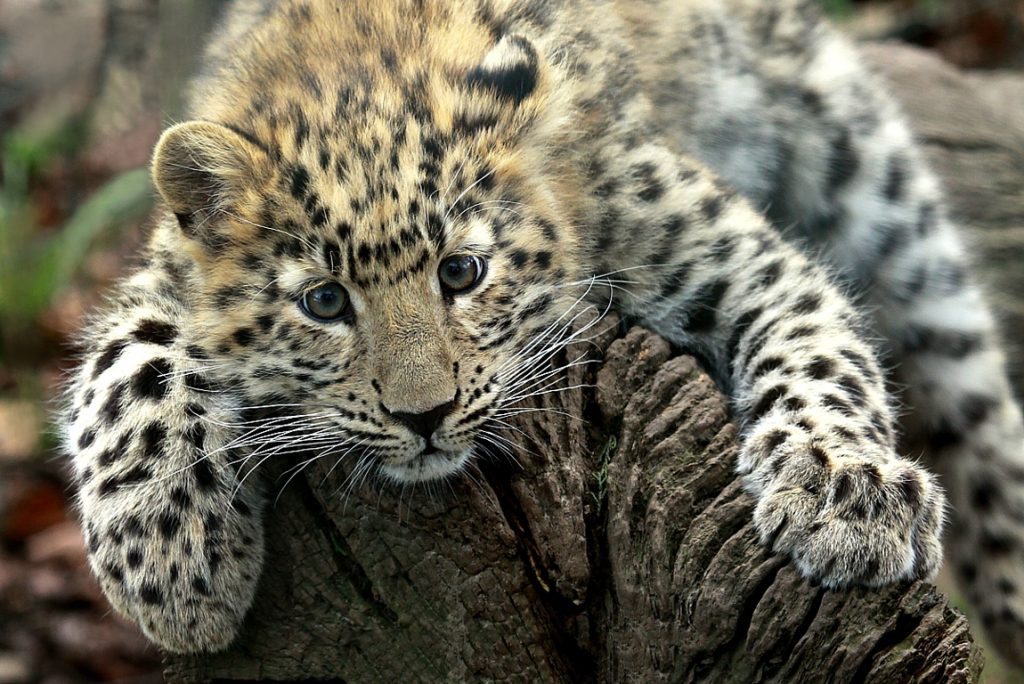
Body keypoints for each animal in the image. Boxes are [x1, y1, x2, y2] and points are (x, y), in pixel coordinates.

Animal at [61, 0, 1024, 665]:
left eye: (462, 273)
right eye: (325, 303)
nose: (422, 416)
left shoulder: (734, 255)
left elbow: (821, 350)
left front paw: (849, 495)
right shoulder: (165, 272)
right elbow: (126, 363)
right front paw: (174, 571)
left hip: (867, 174)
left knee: (977, 405)